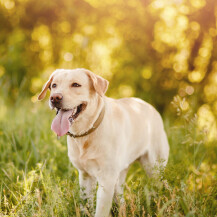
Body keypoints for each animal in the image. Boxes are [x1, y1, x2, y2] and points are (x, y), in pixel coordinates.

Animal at [37, 68, 170, 217]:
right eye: (54, 85)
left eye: (76, 85)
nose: (55, 98)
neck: (86, 132)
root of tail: (149, 106)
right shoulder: (85, 175)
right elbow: (85, 204)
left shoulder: (106, 179)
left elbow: (101, 210)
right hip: (120, 174)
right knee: (120, 197)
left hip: (154, 168)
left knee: (158, 188)